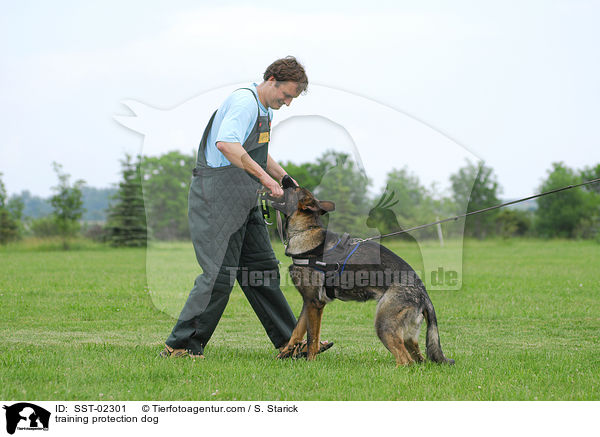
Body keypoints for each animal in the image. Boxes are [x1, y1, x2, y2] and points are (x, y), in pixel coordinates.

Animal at [270, 177, 452, 364]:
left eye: (295, 188)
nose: (285, 178)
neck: (304, 231)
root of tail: (424, 294)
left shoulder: (315, 303)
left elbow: (312, 337)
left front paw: (310, 362)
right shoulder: (308, 302)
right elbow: (296, 332)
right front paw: (283, 355)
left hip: (383, 324)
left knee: (405, 361)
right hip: (407, 336)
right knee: (418, 361)